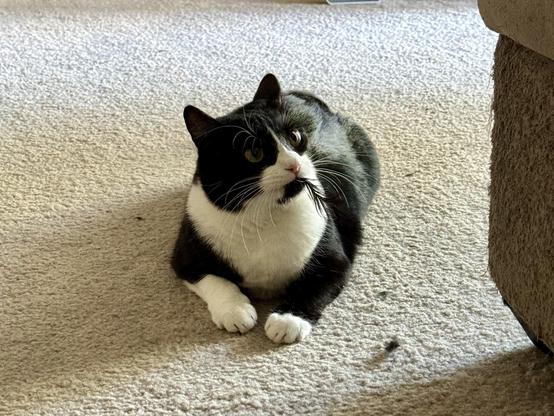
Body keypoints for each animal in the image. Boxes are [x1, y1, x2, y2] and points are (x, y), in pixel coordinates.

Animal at [171, 75, 380, 344]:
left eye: (295, 137)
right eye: (254, 152)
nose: (294, 164)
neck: (264, 216)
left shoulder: (335, 259)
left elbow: (312, 288)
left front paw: (288, 320)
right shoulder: (185, 255)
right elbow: (215, 280)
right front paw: (235, 311)